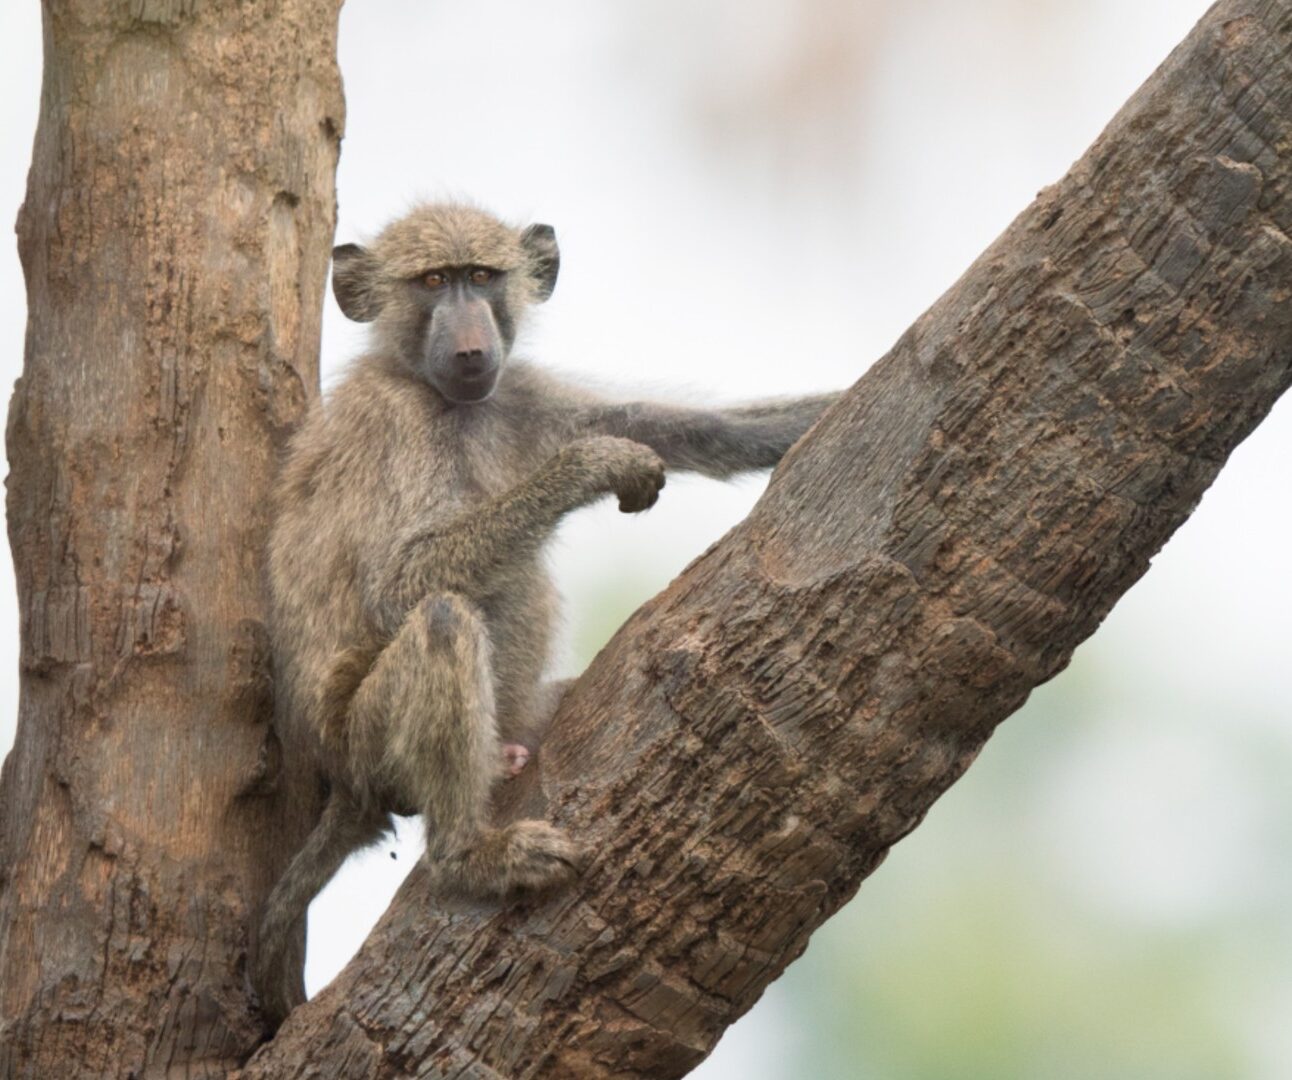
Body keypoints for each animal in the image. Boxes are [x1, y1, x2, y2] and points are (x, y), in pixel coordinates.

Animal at [253, 201, 840, 1023]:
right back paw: (469, 857)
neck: (445, 398)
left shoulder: (523, 394)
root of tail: (342, 781)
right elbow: (399, 583)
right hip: (364, 741)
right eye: (432, 282)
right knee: (442, 621)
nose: (472, 346)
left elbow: (690, 427)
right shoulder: (391, 424)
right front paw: (595, 464)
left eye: (481, 277)